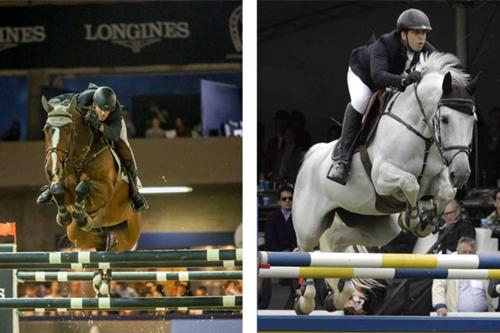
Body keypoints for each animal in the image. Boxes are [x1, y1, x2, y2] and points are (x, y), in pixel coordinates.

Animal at [292, 52, 480, 314]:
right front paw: (413, 218)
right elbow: (410, 183)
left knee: (339, 243)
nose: (461, 173)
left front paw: (427, 220)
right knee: (307, 252)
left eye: (472, 120)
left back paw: (338, 297)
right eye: (444, 119)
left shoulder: (437, 179)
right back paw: (306, 301)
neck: (423, 135)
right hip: (309, 224)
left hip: (376, 227)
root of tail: (312, 155)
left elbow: (446, 191)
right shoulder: (383, 177)